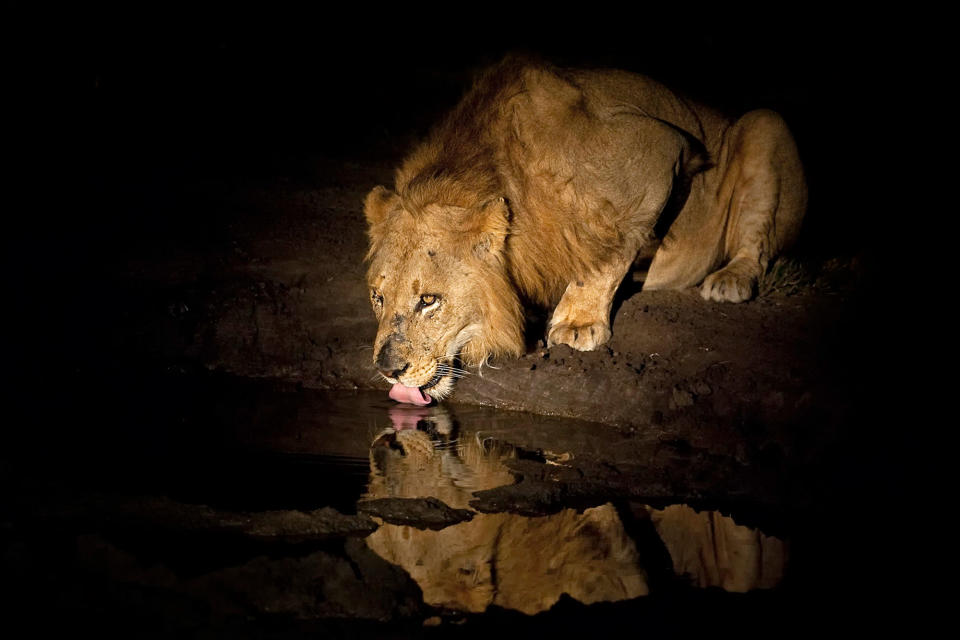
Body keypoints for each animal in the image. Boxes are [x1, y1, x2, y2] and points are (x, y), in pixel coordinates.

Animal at [364, 57, 808, 402]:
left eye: (429, 300)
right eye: (377, 297)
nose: (388, 369)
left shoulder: (658, 151)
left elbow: (609, 247)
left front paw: (577, 324)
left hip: (763, 125)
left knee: (756, 243)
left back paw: (731, 279)